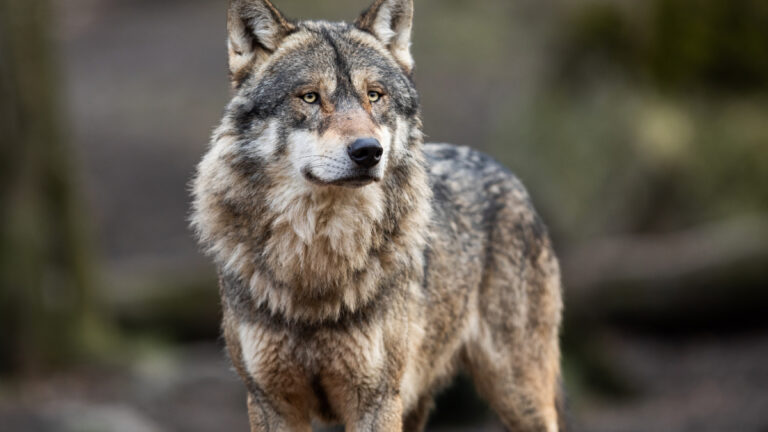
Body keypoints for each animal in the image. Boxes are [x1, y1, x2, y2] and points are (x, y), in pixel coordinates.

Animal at [190, 0, 563, 430]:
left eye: (374, 95)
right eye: (310, 97)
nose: (368, 151)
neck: (316, 265)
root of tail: (503, 171)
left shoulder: (376, 399)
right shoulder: (270, 401)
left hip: (517, 395)